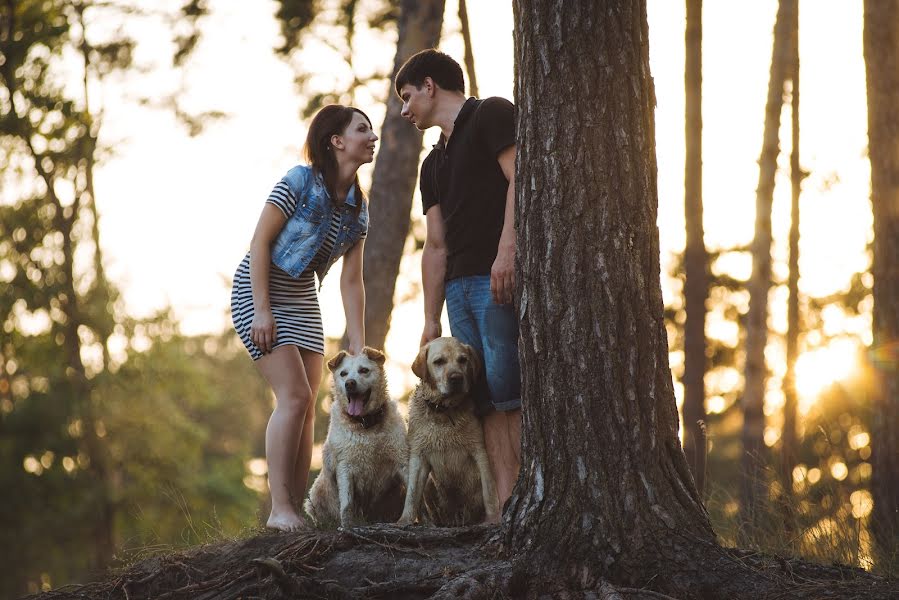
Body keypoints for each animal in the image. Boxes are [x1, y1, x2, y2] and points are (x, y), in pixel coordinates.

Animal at [308, 344, 410, 528]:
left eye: (364, 370)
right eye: (343, 373)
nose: (350, 383)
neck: (366, 424)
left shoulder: (401, 459)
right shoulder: (345, 466)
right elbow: (347, 503)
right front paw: (348, 525)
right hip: (317, 491)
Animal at [400, 336, 502, 528]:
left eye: (463, 360)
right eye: (439, 361)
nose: (456, 378)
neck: (443, 411)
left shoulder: (480, 451)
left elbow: (489, 491)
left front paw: (493, 518)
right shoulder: (418, 456)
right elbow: (411, 495)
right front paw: (404, 521)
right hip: (430, 485)